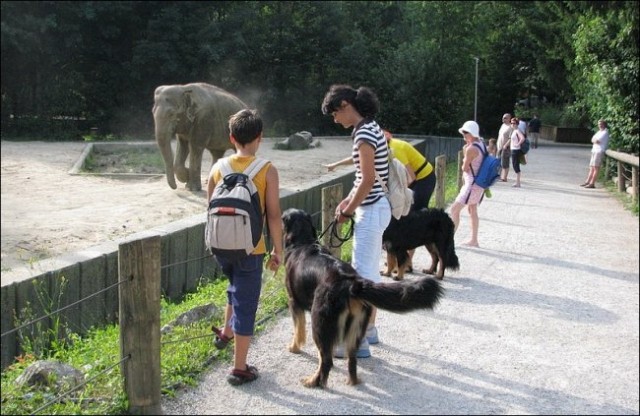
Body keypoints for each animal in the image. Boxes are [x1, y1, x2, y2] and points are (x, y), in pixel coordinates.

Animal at [282, 210, 442, 388]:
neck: (303, 242)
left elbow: (298, 329)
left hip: (320, 323)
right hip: (356, 326)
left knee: (326, 360)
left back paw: (313, 381)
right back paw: (353, 381)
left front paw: (294, 347)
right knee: (352, 360)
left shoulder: (293, 302)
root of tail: (352, 283)